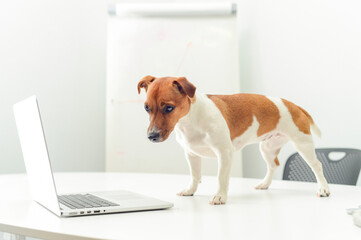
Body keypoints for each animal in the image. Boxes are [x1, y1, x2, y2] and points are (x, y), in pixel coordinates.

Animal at [137, 75, 330, 204]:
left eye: (169, 108)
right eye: (147, 108)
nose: (151, 136)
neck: (191, 120)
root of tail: (295, 106)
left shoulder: (224, 154)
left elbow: (221, 177)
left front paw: (220, 196)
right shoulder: (191, 154)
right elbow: (194, 175)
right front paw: (190, 190)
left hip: (303, 144)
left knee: (317, 166)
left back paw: (323, 188)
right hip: (267, 148)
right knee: (273, 165)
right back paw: (265, 184)